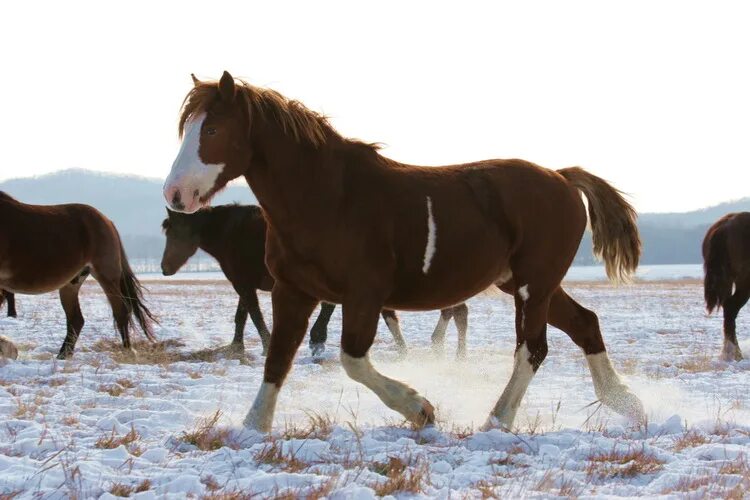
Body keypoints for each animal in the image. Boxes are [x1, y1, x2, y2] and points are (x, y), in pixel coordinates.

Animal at [0, 189, 156, 358]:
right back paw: (63, 355)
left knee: (121, 311)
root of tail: (107, 221)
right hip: (71, 284)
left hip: (107, 276)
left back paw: (128, 351)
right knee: (76, 319)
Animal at [162, 205, 470, 358]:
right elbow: (242, 316)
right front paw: (237, 346)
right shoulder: (244, 284)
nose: (165, 268)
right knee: (453, 312)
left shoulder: (244, 283)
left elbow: (254, 315)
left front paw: (266, 345)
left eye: (174, 232)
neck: (231, 231)